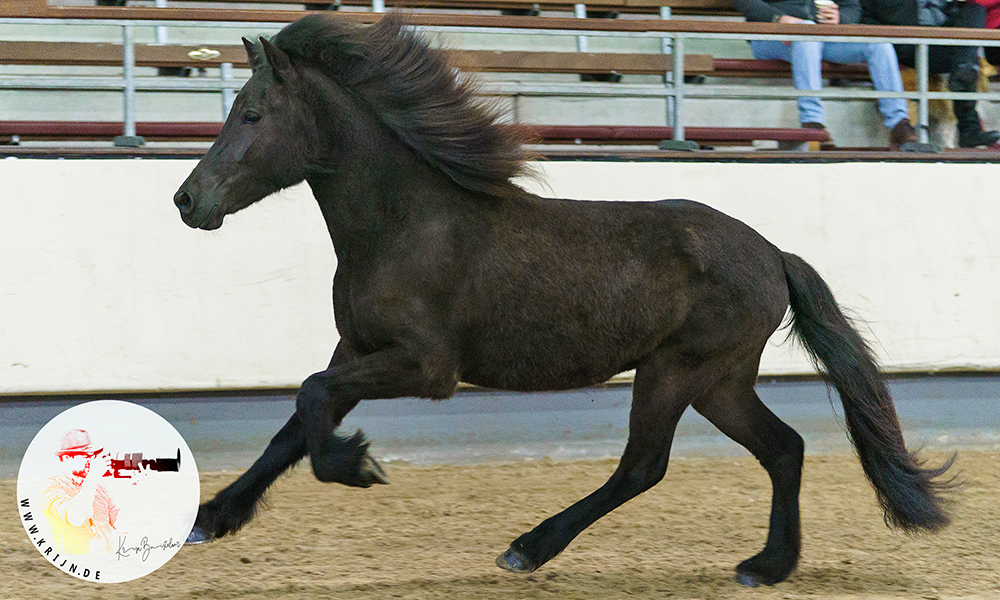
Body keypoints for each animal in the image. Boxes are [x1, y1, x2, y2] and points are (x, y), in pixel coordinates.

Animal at [174, 12, 952, 584]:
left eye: (251, 114)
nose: (187, 201)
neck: (405, 224)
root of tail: (772, 255)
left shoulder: (424, 368)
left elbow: (309, 401)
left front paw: (359, 465)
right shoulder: (357, 350)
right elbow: (294, 422)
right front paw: (211, 516)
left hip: (677, 370)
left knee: (644, 466)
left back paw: (529, 547)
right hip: (720, 380)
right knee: (784, 449)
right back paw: (768, 564)